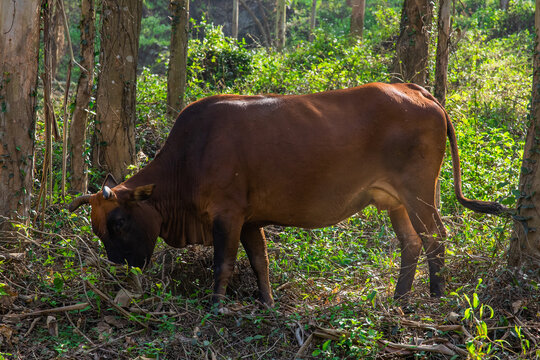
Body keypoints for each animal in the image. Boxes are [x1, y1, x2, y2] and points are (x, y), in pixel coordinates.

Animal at [68, 83, 506, 306]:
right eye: (97, 229)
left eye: (119, 221)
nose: (119, 263)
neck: (188, 158)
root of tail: (420, 92)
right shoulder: (249, 221)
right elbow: (259, 263)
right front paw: (266, 304)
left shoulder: (227, 215)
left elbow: (223, 266)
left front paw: (215, 308)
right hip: (394, 198)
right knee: (411, 242)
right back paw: (398, 299)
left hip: (418, 191)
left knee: (436, 237)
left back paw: (435, 296)